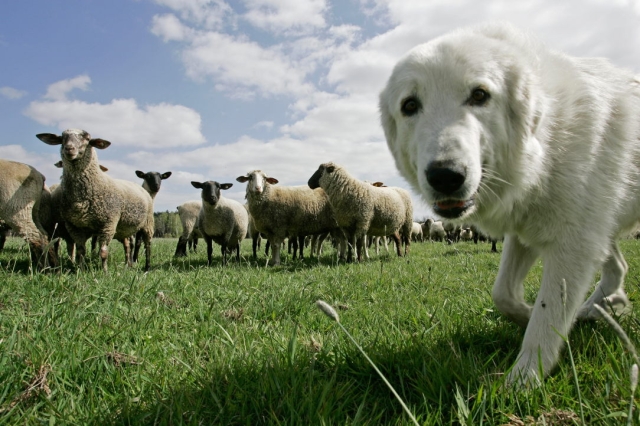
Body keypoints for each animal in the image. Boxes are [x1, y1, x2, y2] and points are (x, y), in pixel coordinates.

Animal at [37, 128, 154, 272]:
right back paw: (128, 265)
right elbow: (81, 251)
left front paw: (105, 272)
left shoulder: (107, 224)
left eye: (87, 138)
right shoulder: (74, 226)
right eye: (62, 138)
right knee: (127, 245)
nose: (69, 148)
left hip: (147, 223)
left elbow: (103, 251)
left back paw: (147, 266)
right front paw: (80, 270)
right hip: (123, 229)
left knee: (147, 245)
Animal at [378, 24, 640, 390]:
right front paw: (529, 316)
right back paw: (601, 306)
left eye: (479, 95)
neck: (545, 142)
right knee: (617, 266)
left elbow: (547, 315)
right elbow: (503, 294)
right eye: (410, 105)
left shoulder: (573, 245)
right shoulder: (528, 230)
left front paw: (523, 381)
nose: (445, 176)